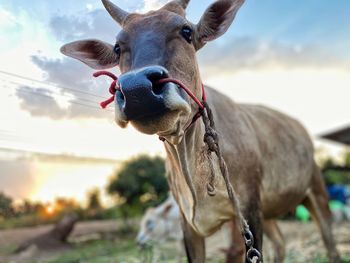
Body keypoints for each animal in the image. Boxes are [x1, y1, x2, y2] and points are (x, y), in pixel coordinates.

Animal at [61, 0, 340, 263]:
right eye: (118, 47)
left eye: (186, 31)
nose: (137, 90)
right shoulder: (189, 224)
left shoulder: (247, 210)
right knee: (280, 244)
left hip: (315, 191)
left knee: (330, 242)